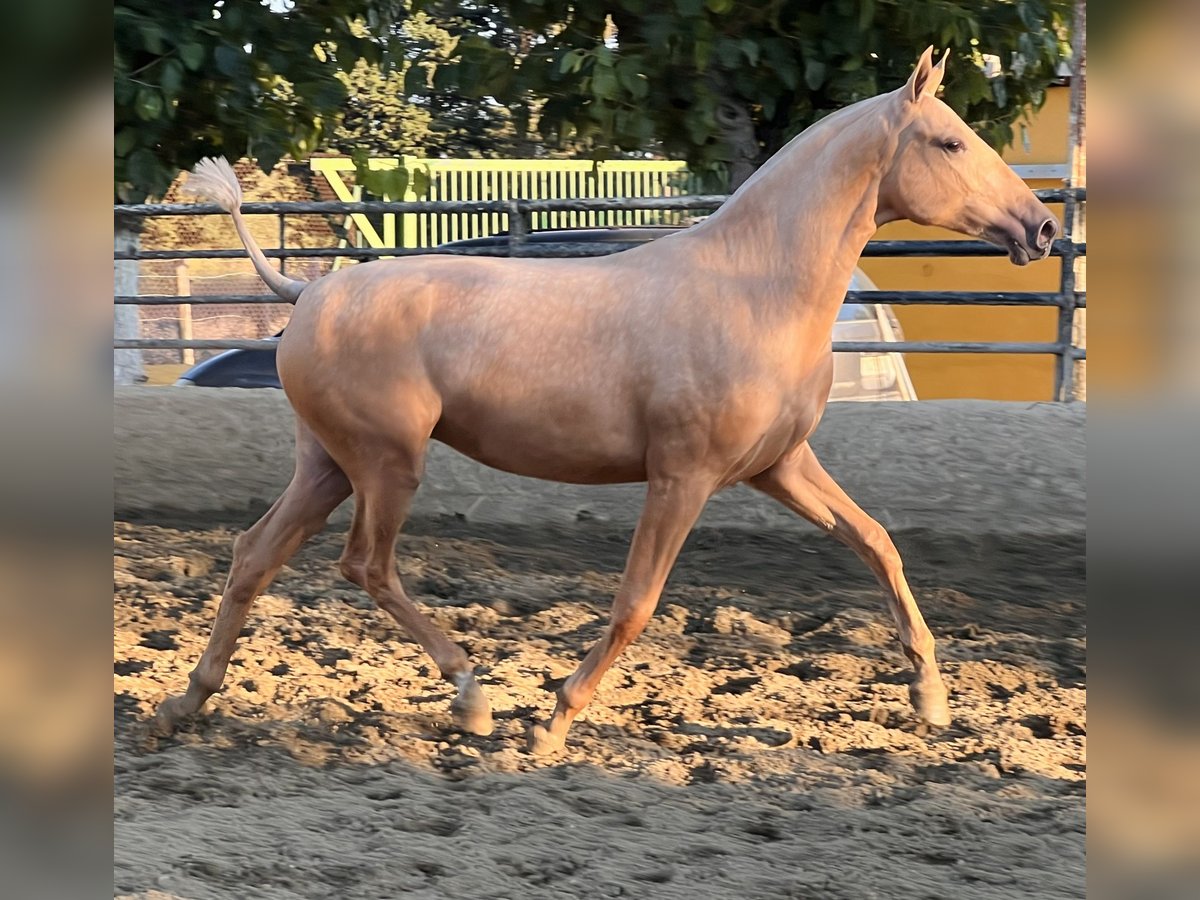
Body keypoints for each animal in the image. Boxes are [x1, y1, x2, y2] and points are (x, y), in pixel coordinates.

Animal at [154, 47, 1056, 753]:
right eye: (950, 140)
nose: (1040, 228)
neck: (755, 288)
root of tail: (305, 294)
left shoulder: (780, 467)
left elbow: (878, 544)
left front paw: (931, 700)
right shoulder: (683, 477)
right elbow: (635, 603)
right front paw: (555, 721)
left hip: (330, 465)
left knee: (254, 555)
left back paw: (186, 702)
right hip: (387, 463)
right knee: (365, 565)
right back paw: (472, 698)